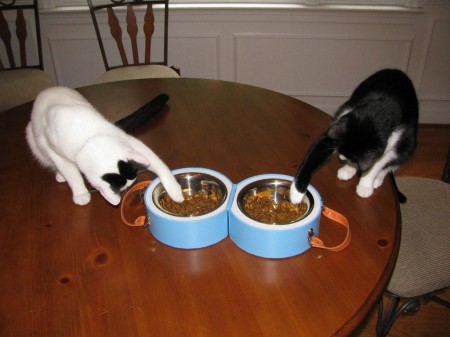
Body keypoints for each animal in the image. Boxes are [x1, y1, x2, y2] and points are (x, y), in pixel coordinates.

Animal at [25, 86, 184, 205]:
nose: (131, 183)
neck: (88, 138)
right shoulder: (55, 151)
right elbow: (72, 173)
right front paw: (80, 193)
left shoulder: (127, 140)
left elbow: (156, 162)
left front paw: (174, 189)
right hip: (32, 138)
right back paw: (60, 175)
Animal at [292, 68, 418, 202]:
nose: (342, 157)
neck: (374, 115)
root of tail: (399, 72)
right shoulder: (341, 122)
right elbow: (315, 153)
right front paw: (297, 192)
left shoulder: (393, 141)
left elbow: (377, 164)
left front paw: (365, 185)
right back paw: (347, 171)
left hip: (409, 141)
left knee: (396, 159)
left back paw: (376, 179)